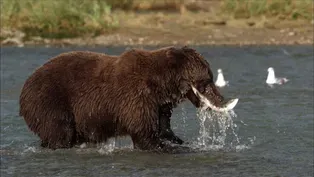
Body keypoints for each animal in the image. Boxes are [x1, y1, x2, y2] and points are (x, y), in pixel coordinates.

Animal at [18, 46, 226, 152]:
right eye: (207, 81)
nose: (221, 98)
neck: (161, 83)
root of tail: (25, 83)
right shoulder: (135, 97)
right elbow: (144, 134)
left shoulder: (159, 104)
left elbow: (163, 128)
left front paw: (179, 141)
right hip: (51, 100)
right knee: (60, 132)